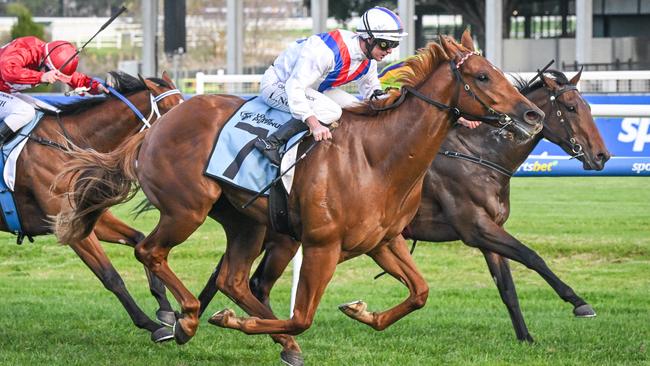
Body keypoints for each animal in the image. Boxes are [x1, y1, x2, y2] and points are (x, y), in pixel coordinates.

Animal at [5, 72, 182, 344]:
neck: (70, 146)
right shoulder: (68, 227)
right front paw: (152, 325)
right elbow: (111, 276)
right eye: (172, 109)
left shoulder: (88, 218)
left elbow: (138, 238)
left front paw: (165, 311)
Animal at [54, 31, 540, 364]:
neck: (379, 157)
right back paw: (188, 317)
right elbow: (304, 315)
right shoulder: (323, 245)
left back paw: (257, 333)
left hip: (246, 221)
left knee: (233, 278)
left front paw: (361, 312)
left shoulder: (383, 241)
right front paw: (236, 322)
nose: (532, 114)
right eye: (482, 76)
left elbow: (419, 292)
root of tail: (155, 127)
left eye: (500, 72)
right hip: (186, 209)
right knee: (150, 251)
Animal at [235, 70, 612, 344]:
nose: (602, 156)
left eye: (590, 107)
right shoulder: (476, 228)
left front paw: (526, 338)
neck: (480, 155)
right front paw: (579, 303)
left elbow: (507, 287)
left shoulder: (490, 232)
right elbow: (532, 257)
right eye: (571, 108)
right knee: (255, 281)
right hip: (290, 236)